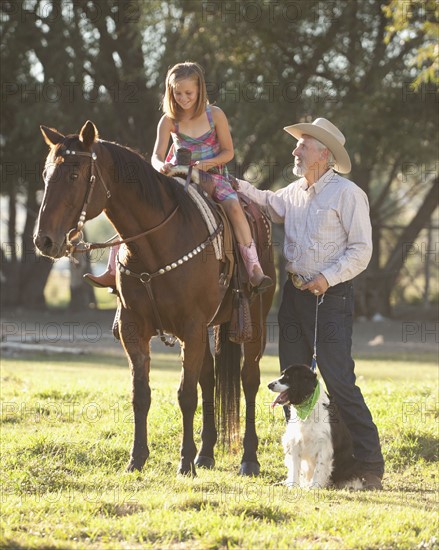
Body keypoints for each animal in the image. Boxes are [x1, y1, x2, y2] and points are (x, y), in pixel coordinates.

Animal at [34, 121, 276, 478]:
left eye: (75, 175)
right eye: (46, 175)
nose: (44, 240)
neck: (156, 242)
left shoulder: (190, 327)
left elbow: (185, 394)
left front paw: (184, 462)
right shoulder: (134, 328)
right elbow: (141, 394)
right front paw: (137, 458)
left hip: (254, 322)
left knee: (249, 380)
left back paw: (248, 458)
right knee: (209, 378)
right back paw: (206, 453)